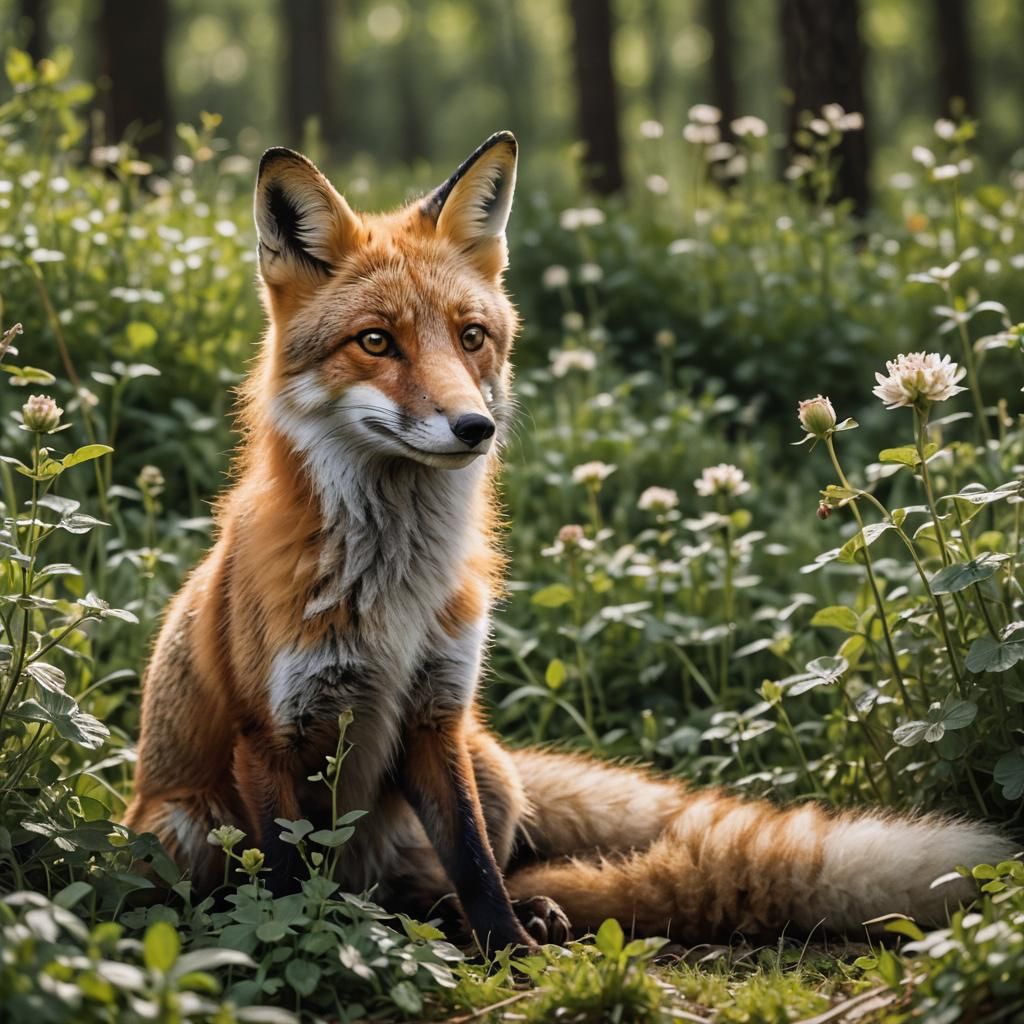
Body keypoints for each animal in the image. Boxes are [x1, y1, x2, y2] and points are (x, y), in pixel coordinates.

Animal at [124, 131, 1015, 951]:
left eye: (471, 336)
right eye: (376, 341)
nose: (474, 427)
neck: (393, 592)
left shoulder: (438, 716)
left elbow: (477, 862)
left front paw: (507, 947)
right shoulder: (268, 738)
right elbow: (279, 881)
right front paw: (287, 946)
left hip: (489, 768)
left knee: (432, 886)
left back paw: (511, 916)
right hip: (186, 829)